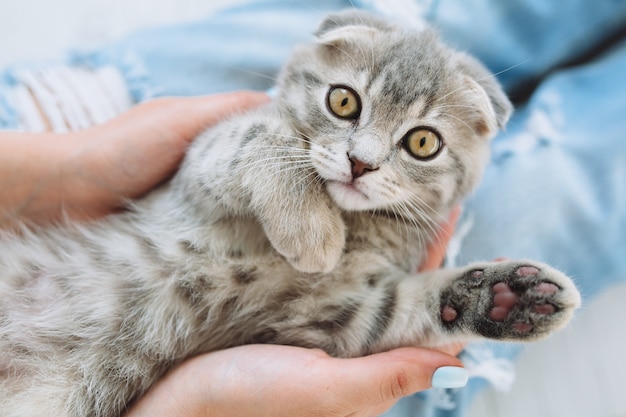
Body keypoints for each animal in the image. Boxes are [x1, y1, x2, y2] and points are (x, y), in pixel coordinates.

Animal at [0, 9, 576, 416]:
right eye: (343, 102)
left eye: (422, 142)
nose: (360, 162)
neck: (353, 221)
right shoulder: (192, 173)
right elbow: (261, 135)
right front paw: (312, 234)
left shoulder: (326, 316)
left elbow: (406, 310)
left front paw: (509, 297)